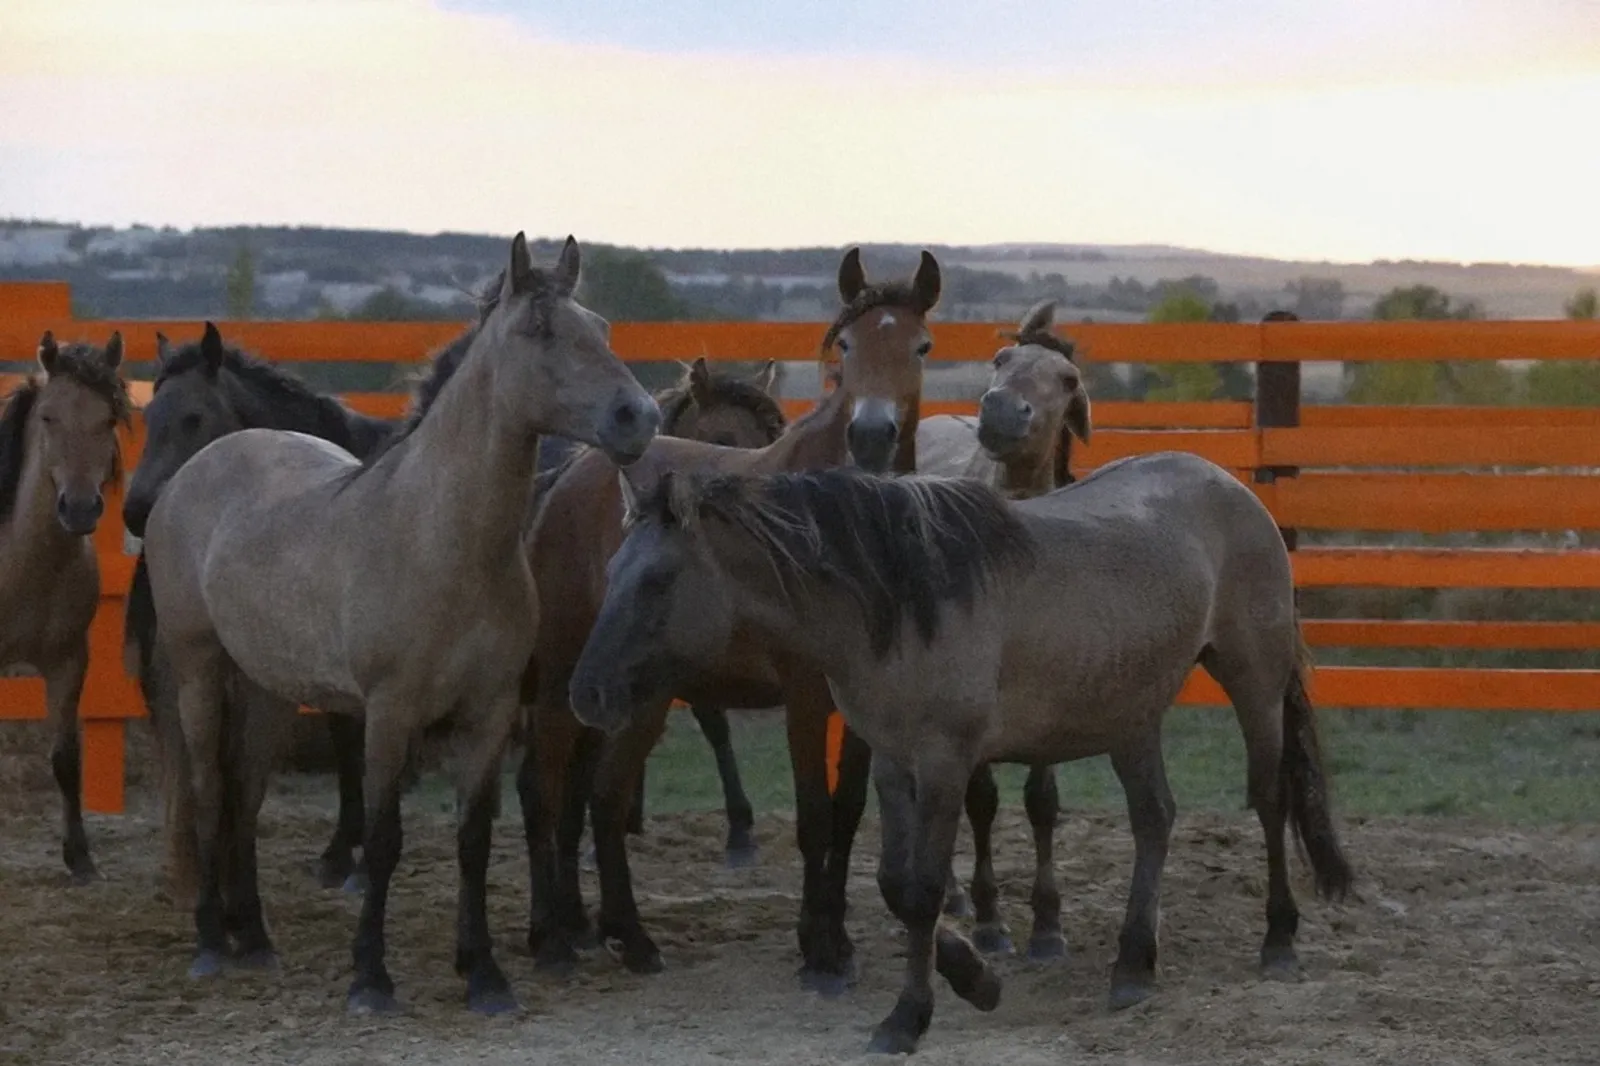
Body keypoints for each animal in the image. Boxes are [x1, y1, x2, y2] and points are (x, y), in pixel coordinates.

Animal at [139, 231, 661, 1015]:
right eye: (540, 329)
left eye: (599, 326)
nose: (640, 417)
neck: (441, 541)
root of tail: (188, 479)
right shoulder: (388, 713)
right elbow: (383, 840)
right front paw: (370, 979)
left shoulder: (489, 713)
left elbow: (474, 839)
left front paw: (485, 974)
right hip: (199, 669)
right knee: (207, 786)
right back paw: (209, 943)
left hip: (266, 688)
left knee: (244, 793)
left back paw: (253, 939)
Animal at [518, 243, 940, 993]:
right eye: (846, 347)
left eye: (920, 345)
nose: (870, 434)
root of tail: (571, 476)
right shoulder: (806, 695)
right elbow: (814, 816)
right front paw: (818, 953)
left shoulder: (866, 701)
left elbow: (847, 812)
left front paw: (836, 939)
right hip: (570, 680)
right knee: (550, 790)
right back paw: (555, 939)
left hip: (635, 691)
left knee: (597, 796)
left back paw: (613, 932)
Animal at [572, 455, 1354, 1054]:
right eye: (611, 567)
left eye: (657, 580)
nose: (588, 693)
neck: (900, 601)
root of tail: (1234, 489)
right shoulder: (893, 760)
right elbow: (896, 883)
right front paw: (973, 974)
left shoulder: (946, 760)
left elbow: (921, 890)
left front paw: (908, 1017)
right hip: (1131, 714)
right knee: (1154, 818)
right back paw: (1134, 965)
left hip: (1252, 683)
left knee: (1270, 800)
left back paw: (1278, 942)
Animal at [914, 298, 1090, 953]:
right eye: (1000, 357)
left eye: (1066, 380)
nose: (1001, 411)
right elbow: (982, 799)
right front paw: (991, 920)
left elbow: (1042, 801)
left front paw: (1048, 922)